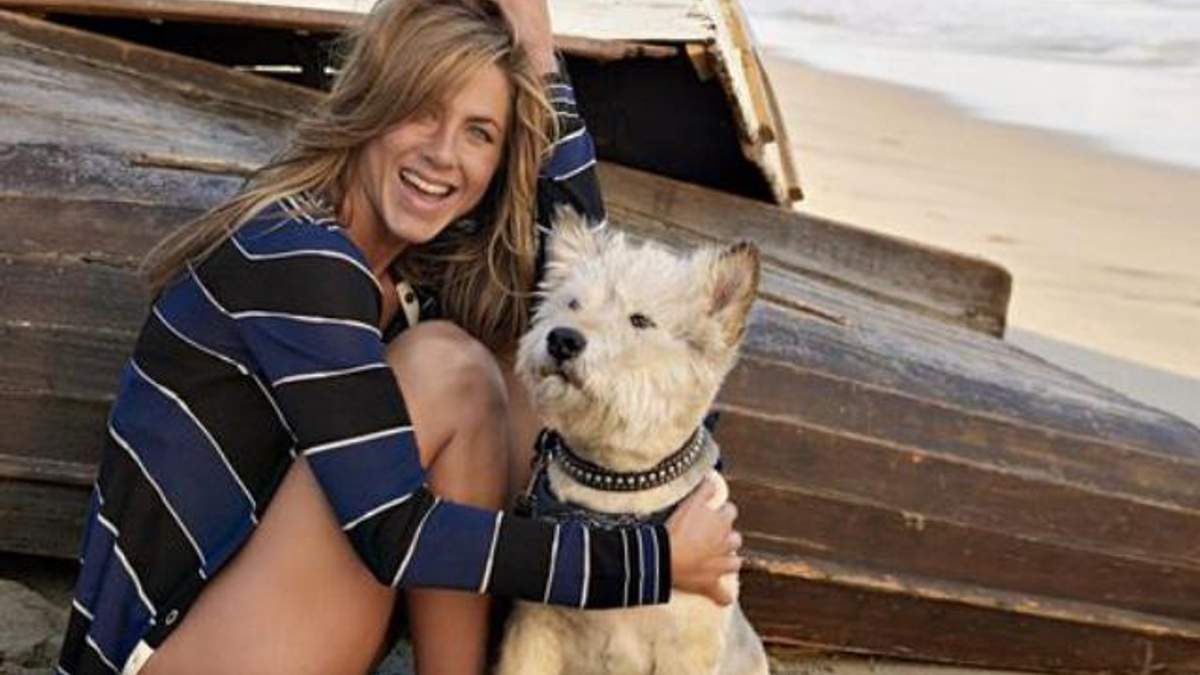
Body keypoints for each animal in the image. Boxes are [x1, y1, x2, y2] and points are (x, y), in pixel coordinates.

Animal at [498, 209, 770, 675]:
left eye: (640, 320)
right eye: (572, 303)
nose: (562, 339)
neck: (615, 487)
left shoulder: (684, 652)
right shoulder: (532, 628)